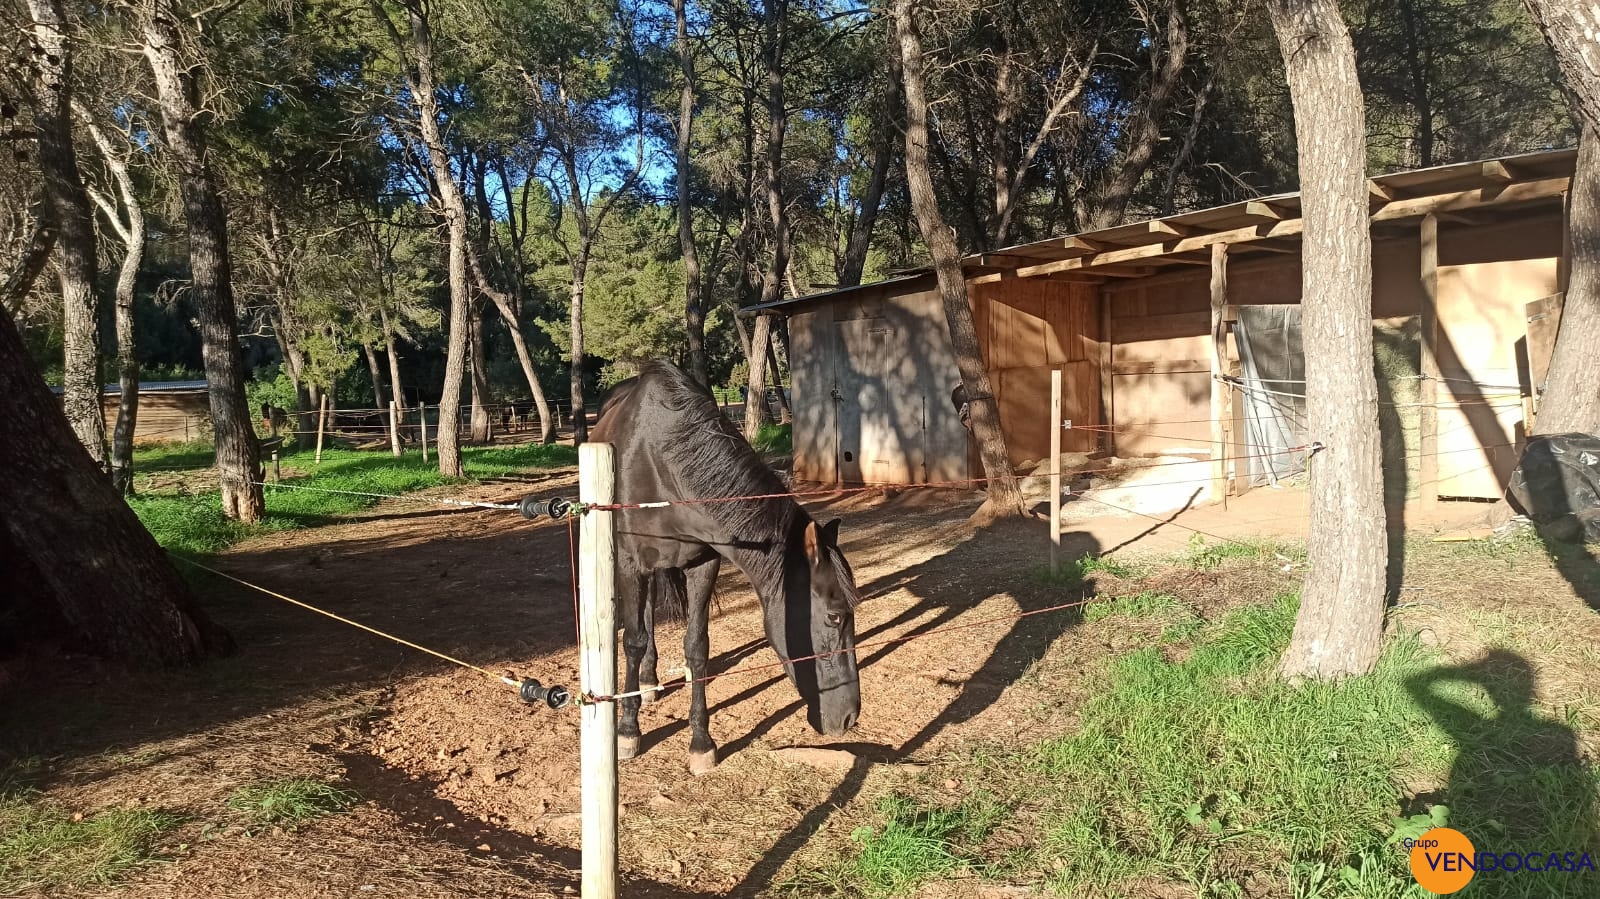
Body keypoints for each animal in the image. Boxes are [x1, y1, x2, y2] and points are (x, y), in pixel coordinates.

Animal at [592, 356, 864, 771]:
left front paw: (701, 742)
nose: (850, 717)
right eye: (834, 616)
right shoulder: (629, 564)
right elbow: (633, 641)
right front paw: (627, 732)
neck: (664, 465)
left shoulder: (703, 565)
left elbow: (696, 646)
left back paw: (651, 680)